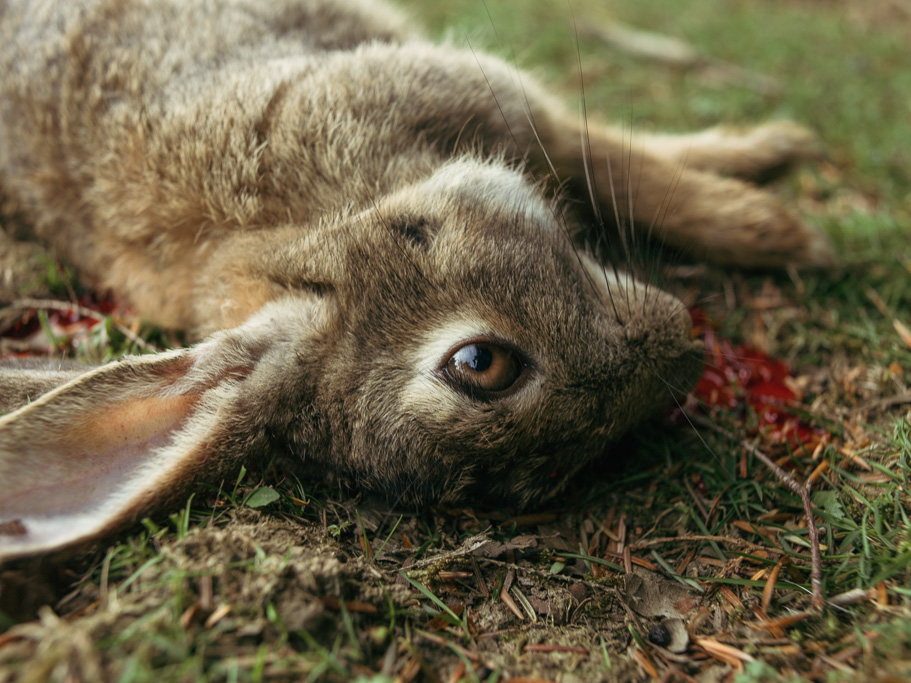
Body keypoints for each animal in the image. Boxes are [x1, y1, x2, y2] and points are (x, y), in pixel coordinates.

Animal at [0, 0, 832, 560]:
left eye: (476, 363)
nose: (684, 351)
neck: (324, 222)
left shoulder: (472, 92)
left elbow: (617, 161)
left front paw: (773, 205)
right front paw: (775, 208)